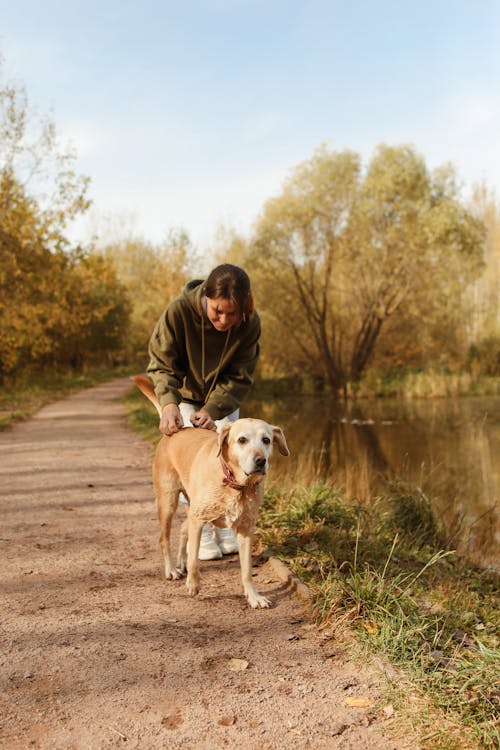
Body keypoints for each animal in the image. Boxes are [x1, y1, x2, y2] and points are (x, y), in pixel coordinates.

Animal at [131, 376, 292, 612]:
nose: (261, 461)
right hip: (168, 501)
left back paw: (179, 562)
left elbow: (246, 570)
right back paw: (171, 569)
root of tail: (175, 431)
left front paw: (253, 596)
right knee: (164, 538)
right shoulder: (199, 520)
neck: (233, 484)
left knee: (183, 530)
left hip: (191, 506)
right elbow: (194, 559)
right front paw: (193, 585)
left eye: (267, 440)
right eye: (242, 440)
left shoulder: (246, 530)